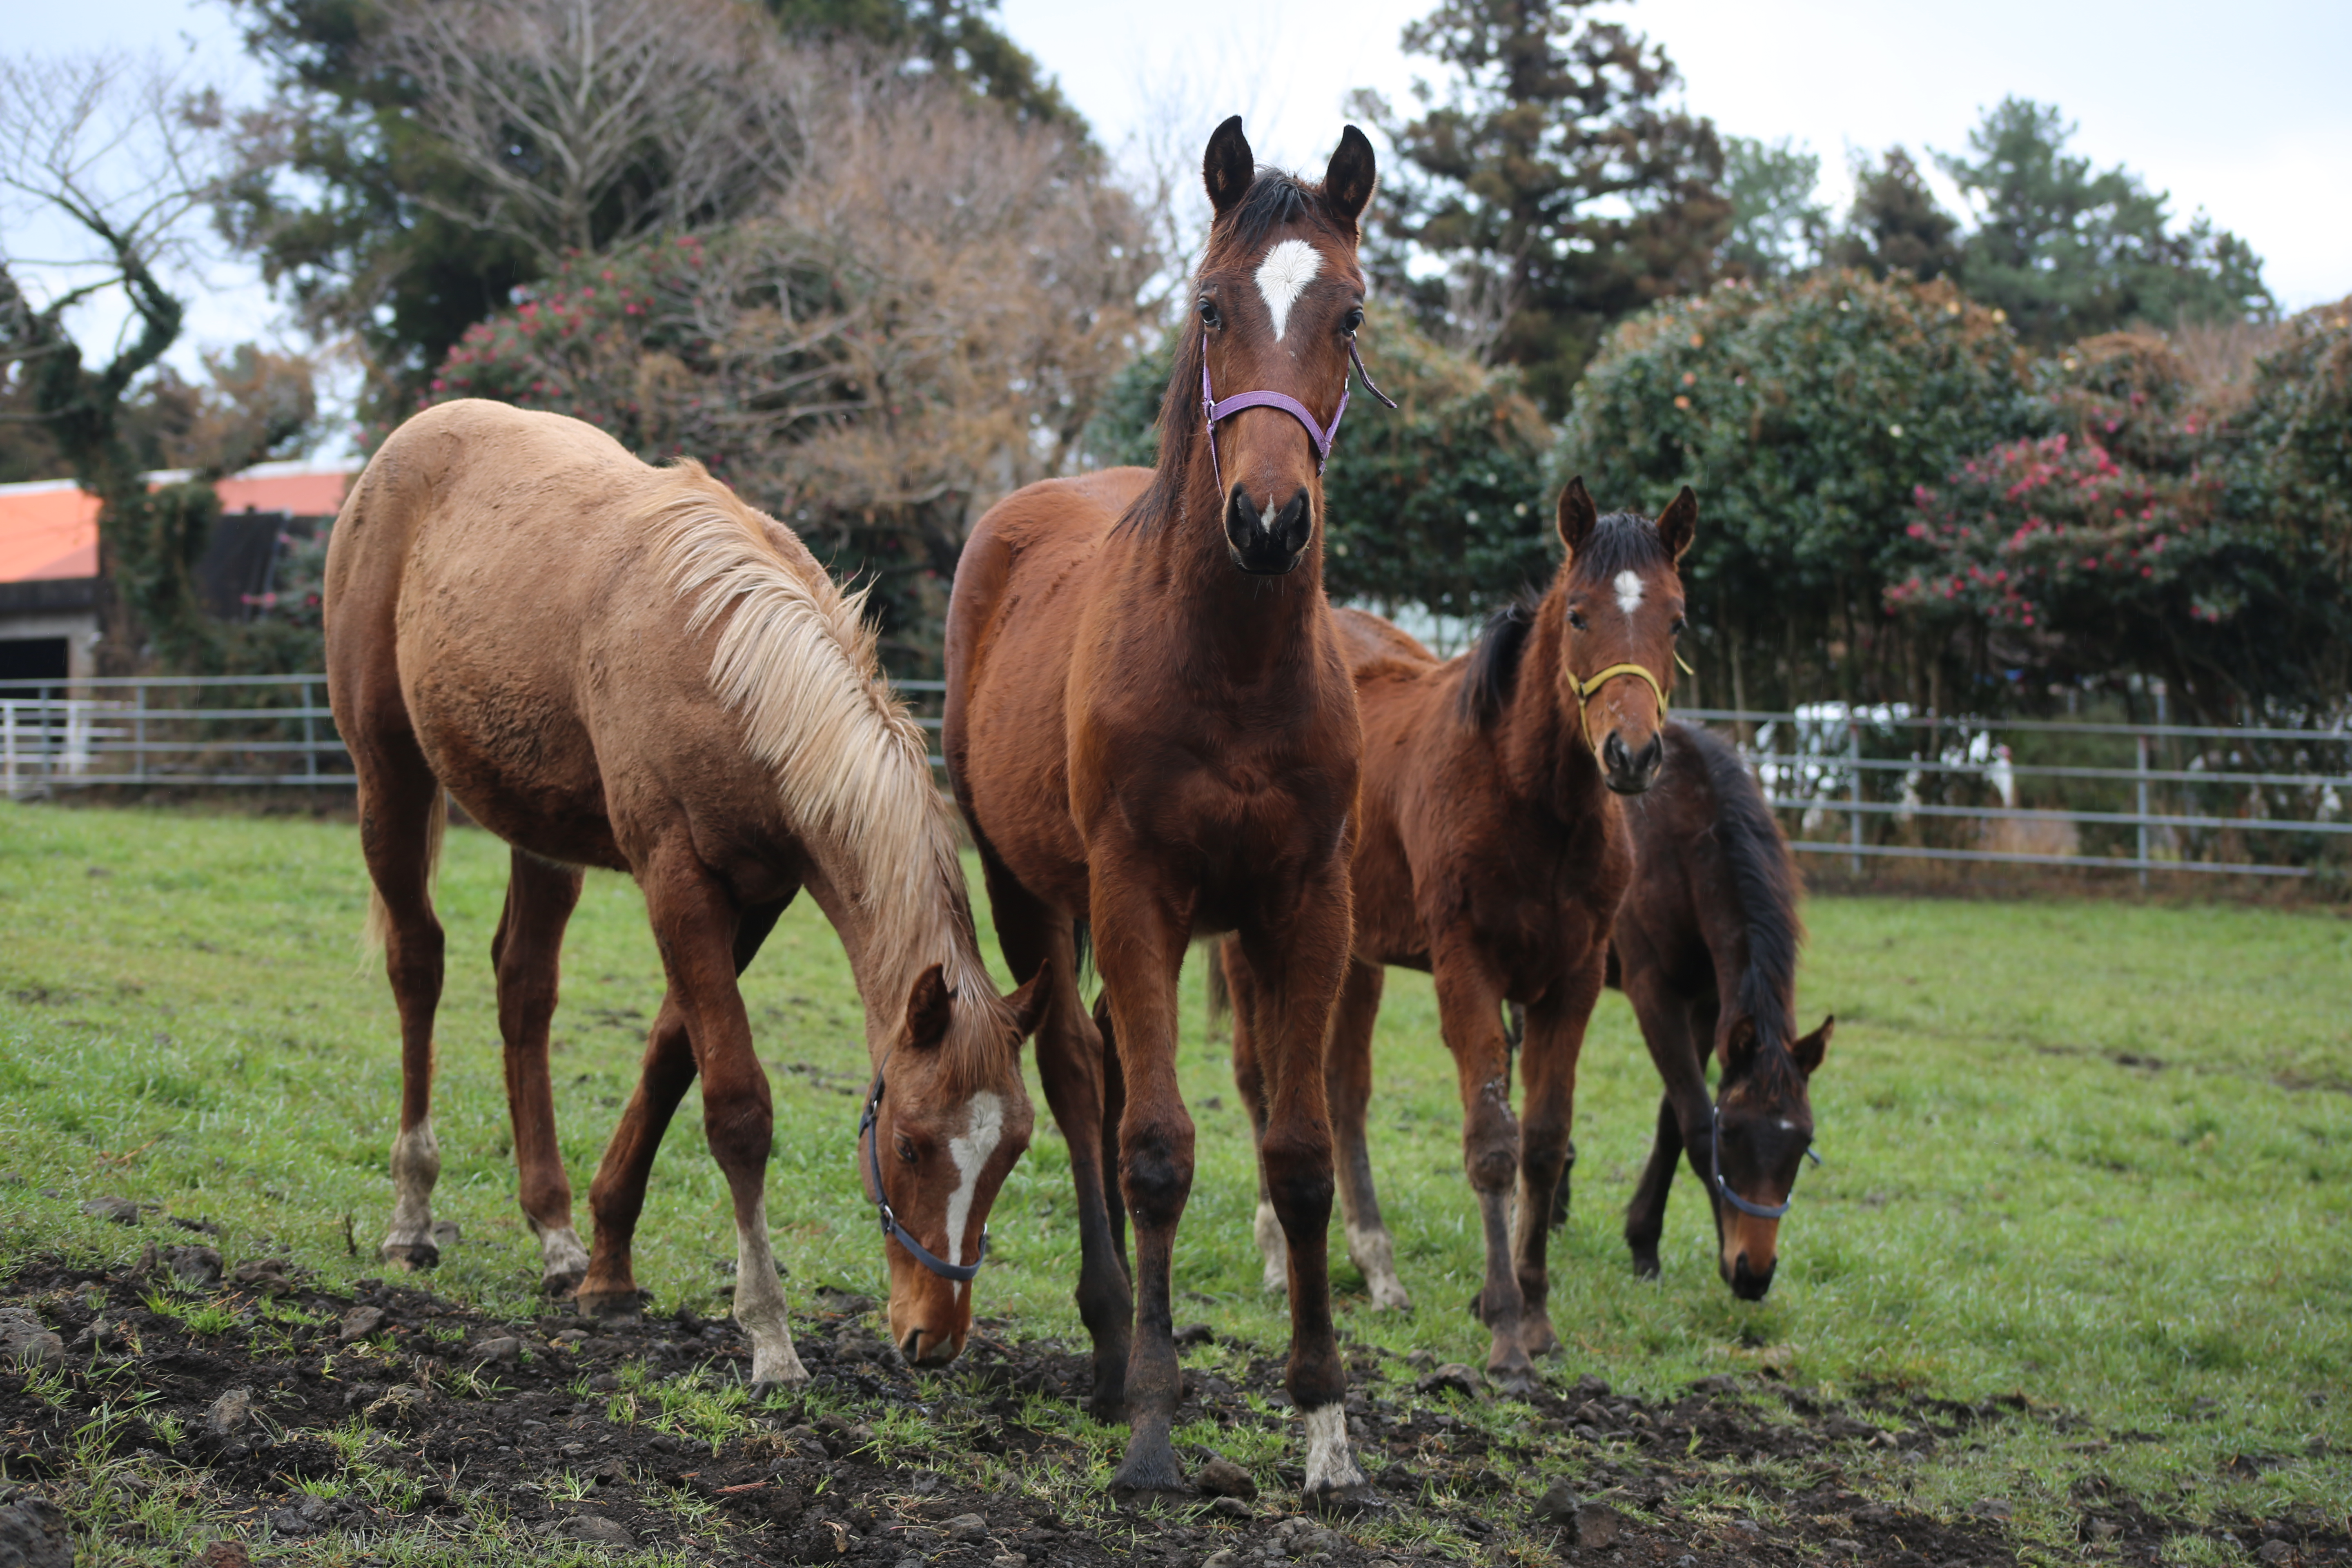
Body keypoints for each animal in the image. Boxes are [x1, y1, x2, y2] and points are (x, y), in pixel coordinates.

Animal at [327, 399, 1044, 1382]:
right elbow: (736, 1104)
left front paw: (606, 1266)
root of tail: (413, 438)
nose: (934, 1337)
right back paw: (411, 1215)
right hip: (387, 778)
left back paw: (552, 1231)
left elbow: (670, 1057)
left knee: (524, 989)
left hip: (539, 829)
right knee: (417, 964)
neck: (731, 664)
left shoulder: (759, 897)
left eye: (1012, 1151)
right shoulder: (677, 877)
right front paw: (769, 1332)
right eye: (908, 1141)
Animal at [941, 120, 1383, 1504]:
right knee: (1081, 1074)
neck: (1232, 660)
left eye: (1349, 315)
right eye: (1210, 307)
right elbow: (1153, 1146)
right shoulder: (1134, 888)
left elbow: (1297, 1152)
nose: (1271, 519)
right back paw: (1106, 1341)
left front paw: (1325, 1421)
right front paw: (1148, 1426)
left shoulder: (1307, 904)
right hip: (1033, 887)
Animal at [1223, 479, 1703, 1382]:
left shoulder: (1573, 980)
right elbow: (1492, 1144)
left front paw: (1537, 1313)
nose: (1632, 755)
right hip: (1252, 941)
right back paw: (1273, 1255)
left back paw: (1376, 1265)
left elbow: (1544, 1142)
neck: (1532, 801)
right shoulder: (1466, 967)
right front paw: (1506, 1331)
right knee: (1259, 1077)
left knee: (1342, 1091)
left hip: (1354, 953)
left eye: (1678, 620)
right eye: (1579, 614)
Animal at [1618, 724, 1834, 1297]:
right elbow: (1693, 1121)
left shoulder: (1707, 1003)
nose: (1755, 1273)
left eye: (1805, 1139)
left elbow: (1672, 1120)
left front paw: (1644, 1244)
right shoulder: (1652, 989)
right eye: (1730, 1134)